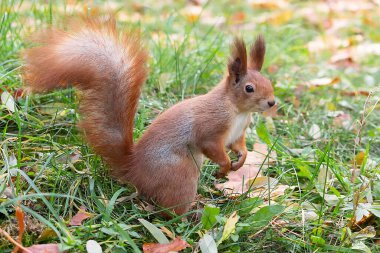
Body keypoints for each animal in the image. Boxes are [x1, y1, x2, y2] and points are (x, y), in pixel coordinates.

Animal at [23, 18, 274, 215]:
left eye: (269, 82)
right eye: (249, 88)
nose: (272, 102)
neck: (238, 111)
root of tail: (134, 170)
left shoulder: (237, 134)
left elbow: (239, 147)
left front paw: (240, 162)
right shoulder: (211, 127)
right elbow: (212, 146)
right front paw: (224, 166)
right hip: (179, 174)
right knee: (169, 211)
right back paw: (193, 213)